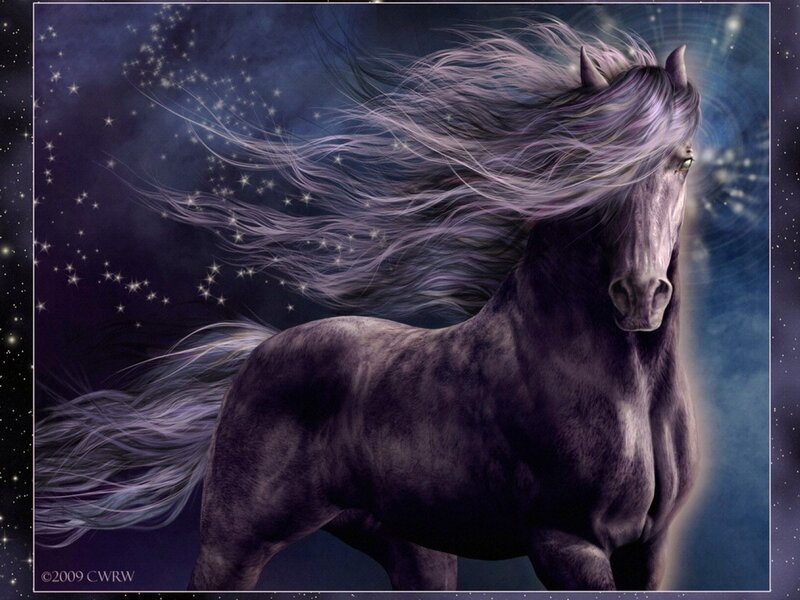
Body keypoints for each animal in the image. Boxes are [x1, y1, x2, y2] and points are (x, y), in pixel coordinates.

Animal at [35, 25, 701, 592]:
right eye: (595, 161)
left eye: (685, 159)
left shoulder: (647, 550)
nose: (640, 295)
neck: (621, 391)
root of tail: (254, 354)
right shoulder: (567, 544)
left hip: (414, 550)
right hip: (232, 546)